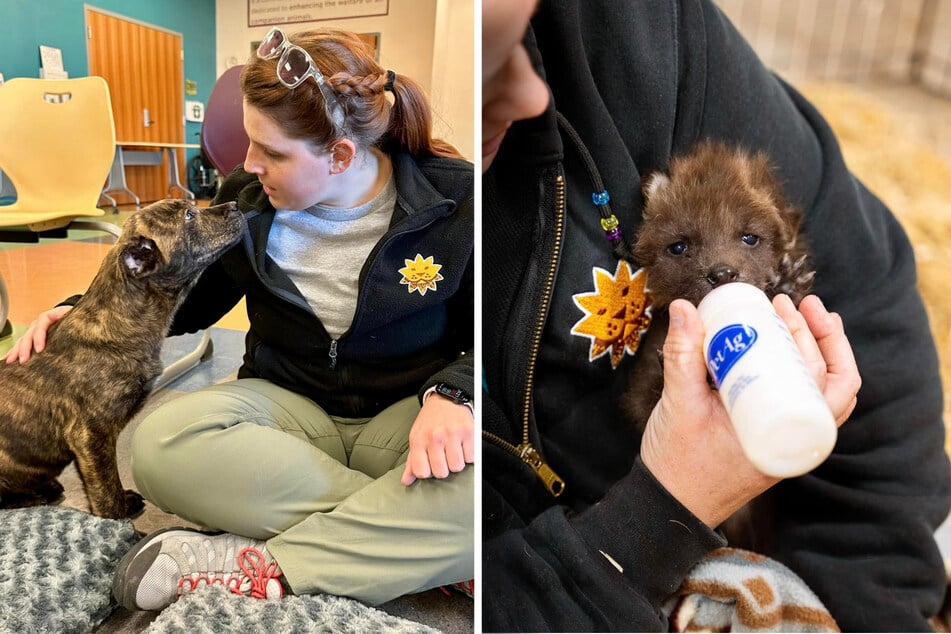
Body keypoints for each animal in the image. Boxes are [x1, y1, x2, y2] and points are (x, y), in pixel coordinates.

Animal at [0, 200, 244, 516]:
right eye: (189, 216)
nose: (236, 204)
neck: (118, 319)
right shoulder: (90, 436)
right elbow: (106, 491)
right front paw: (118, 521)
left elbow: (106, 486)